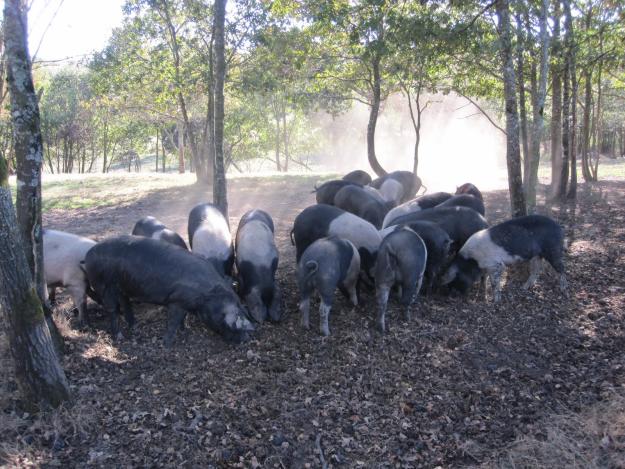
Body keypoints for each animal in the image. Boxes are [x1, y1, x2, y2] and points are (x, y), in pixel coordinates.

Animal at [83, 236, 254, 346]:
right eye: (229, 322)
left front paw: (185, 331)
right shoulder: (176, 301)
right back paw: (119, 337)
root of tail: (88, 254)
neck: (207, 295)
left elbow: (182, 319)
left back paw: (134, 327)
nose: (247, 338)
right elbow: (173, 322)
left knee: (126, 303)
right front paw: (166, 344)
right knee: (111, 309)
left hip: (122, 285)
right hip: (103, 285)